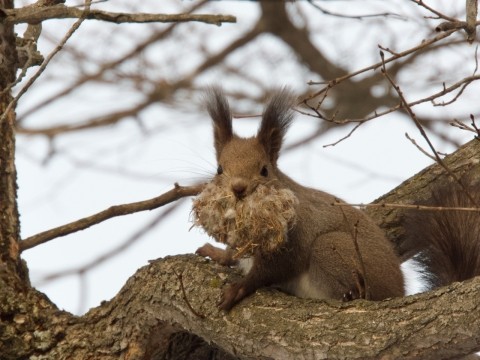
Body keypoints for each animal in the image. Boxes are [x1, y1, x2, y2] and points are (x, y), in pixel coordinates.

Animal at [195, 86, 480, 310]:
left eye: (264, 170)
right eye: (219, 169)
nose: (238, 188)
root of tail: (397, 293)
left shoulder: (294, 239)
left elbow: (270, 271)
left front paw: (239, 288)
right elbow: (234, 254)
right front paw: (218, 254)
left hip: (332, 248)